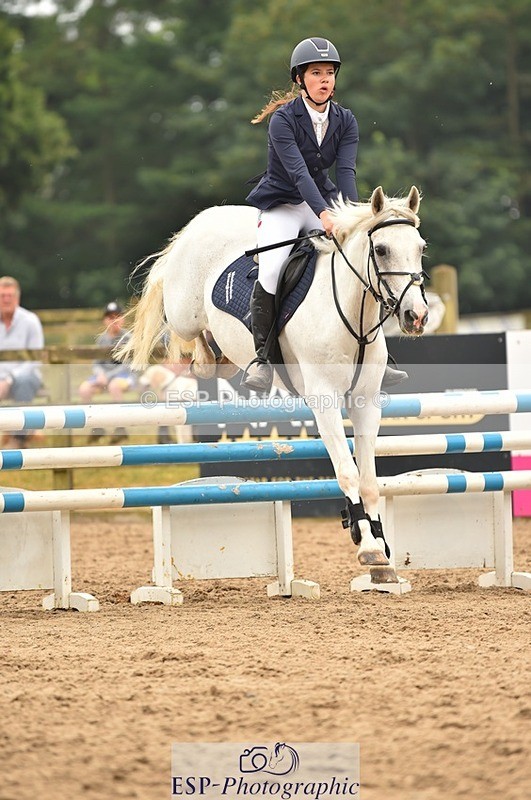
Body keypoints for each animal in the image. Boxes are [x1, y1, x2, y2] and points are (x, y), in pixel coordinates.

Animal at [118, 186, 429, 584]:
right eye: (382, 250)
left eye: (420, 247)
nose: (416, 316)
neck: (352, 315)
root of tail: (202, 220)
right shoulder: (325, 401)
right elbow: (347, 470)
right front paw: (369, 548)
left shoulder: (366, 402)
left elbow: (370, 478)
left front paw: (380, 552)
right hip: (184, 312)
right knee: (188, 337)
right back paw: (210, 359)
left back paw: (227, 362)